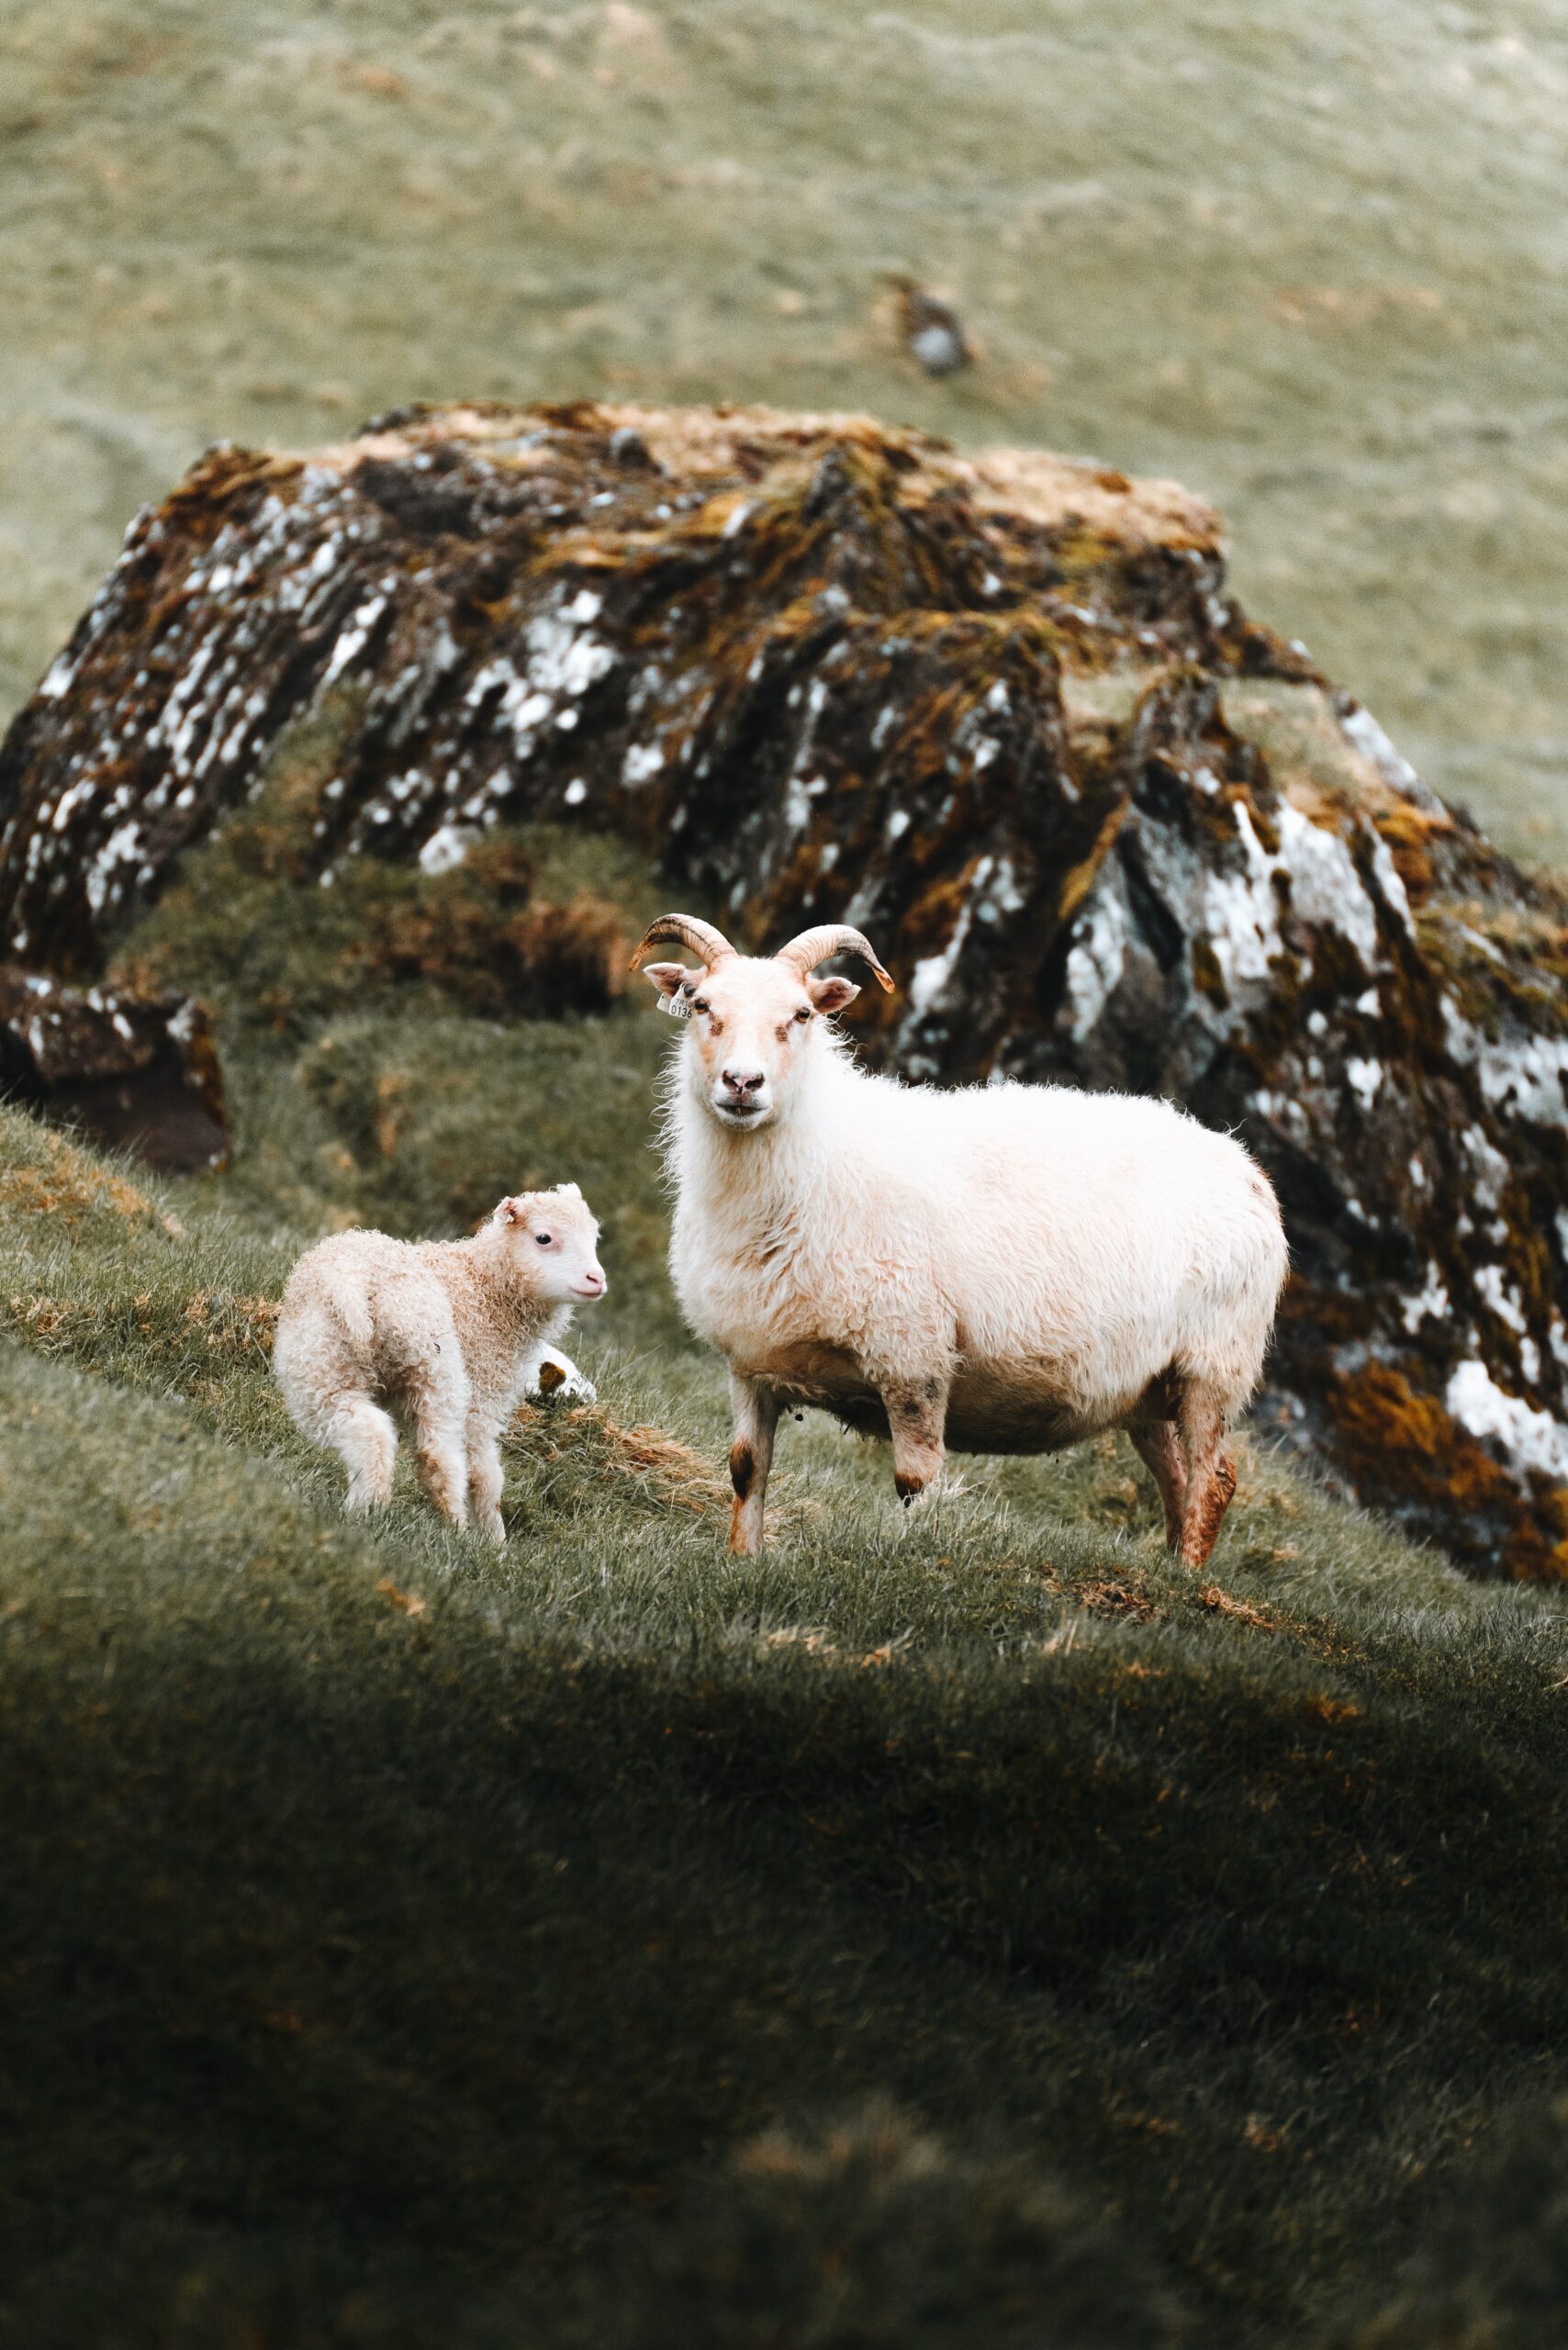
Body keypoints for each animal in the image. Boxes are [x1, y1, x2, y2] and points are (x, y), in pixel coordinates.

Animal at [273, 1193, 606, 1541]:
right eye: (544, 1238)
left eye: (594, 1237)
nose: (597, 1279)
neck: (485, 1287)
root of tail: (350, 1282)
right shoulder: (484, 1388)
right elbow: (484, 1472)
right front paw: (493, 1540)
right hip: (436, 1369)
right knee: (439, 1454)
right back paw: (453, 1525)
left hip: (318, 1364)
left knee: (366, 1431)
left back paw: (362, 1509)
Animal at [639, 912, 1288, 1560]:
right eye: (700, 1004)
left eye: (802, 1014)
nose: (742, 1082)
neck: (816, 1156)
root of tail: (1245, 1167)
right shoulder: (750, 1363)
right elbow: (746, 1468)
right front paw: (743, 1558)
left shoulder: (913, 1356)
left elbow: (916, 1480)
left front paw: (916, 1558)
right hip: (1145, 1389)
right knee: (1177, 1478)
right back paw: (1172, 1569)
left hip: (1212, 1368)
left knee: (1214, 1479)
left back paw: (1191, 1575)